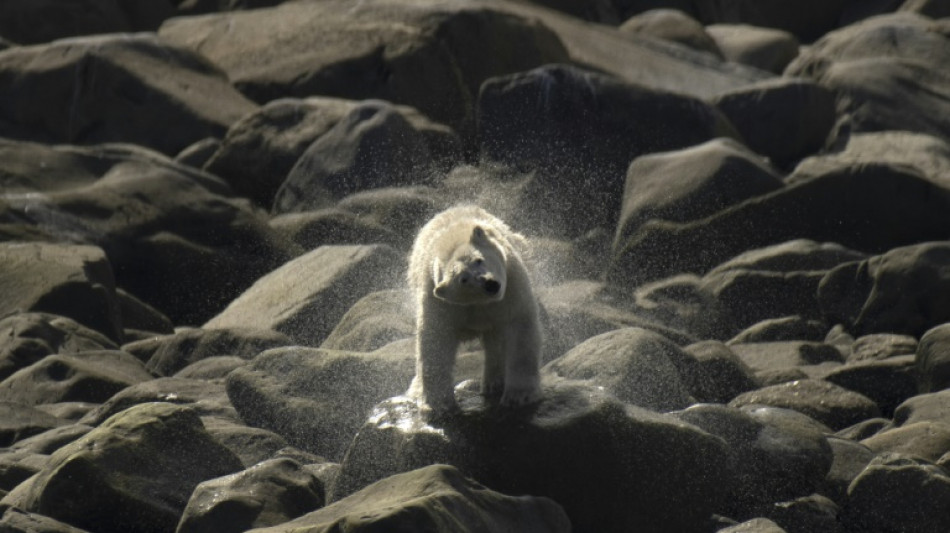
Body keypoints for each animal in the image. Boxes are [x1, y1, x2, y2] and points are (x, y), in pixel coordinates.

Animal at [410, 204, 544, 416]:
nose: (490, 284)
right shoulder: (440, 300)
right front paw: (440, 404)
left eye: (479, 260)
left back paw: (493, 383)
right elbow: (436, 340)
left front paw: (519, 396)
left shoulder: (511, 285)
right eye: (463, 279)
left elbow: (520, 327)